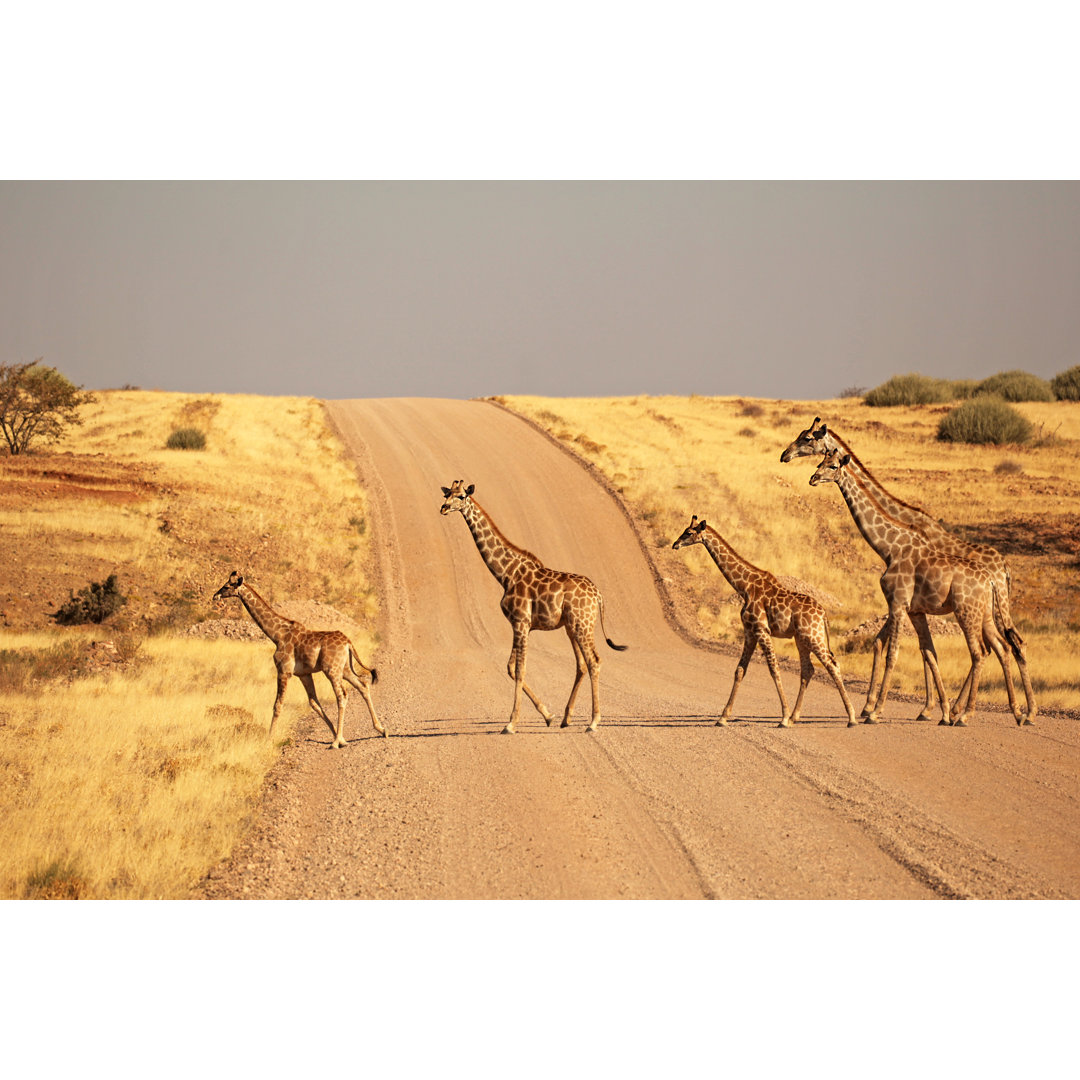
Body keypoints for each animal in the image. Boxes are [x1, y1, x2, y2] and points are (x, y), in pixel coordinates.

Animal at [210, 570, 384, 747]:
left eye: (227, 586)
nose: (215, 596)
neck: (277, 635)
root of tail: (348, 643)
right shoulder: (304, 674)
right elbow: (314, 703)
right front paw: (339, 736)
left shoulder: (283, 671)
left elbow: (277, 705)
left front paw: (269, 739)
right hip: (345, 668)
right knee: (363, 685)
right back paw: (380, 730)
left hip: (332, 670)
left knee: (342, 695)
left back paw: (335, 742)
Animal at [436, 481, 626, 734]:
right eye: (447, 494)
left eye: (462, 496)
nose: (444, 508)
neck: (506, 574)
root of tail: (599, 596)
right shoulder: (520, 625)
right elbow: (510, 668)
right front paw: (548, 716)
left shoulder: (520, 622)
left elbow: (519, 669)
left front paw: (511, 724)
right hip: (571, 627)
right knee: (581, 665)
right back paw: (567, 718)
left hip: (582, 625)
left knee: (594, 661)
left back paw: (593, 722)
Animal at [669, 516, 855, 734]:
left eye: (689, 533)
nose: (675, 544)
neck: (744, 587)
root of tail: (823, 614)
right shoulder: (749, 631)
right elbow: (740, 670)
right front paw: (723, 717)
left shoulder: (761, 629)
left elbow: (774, 669)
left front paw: (783, 717)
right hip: (801, 638)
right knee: (808, 669)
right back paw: (796, 717)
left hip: (813, 636)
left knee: (832, 665)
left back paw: (851, 718)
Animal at [781, 416, 1032, 721]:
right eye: (819, 458)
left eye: (807, 438)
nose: (785, 456)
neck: (893, 543)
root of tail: (1002, 570)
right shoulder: (911, 607)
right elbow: (913, 649)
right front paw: (919, 708)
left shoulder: (901, 603)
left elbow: (898, 651)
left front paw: (884, 710)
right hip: (988, 611)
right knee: (1007, 645)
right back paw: (1017, 712)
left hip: (980, 610)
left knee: (993, 648)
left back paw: (983, 712)